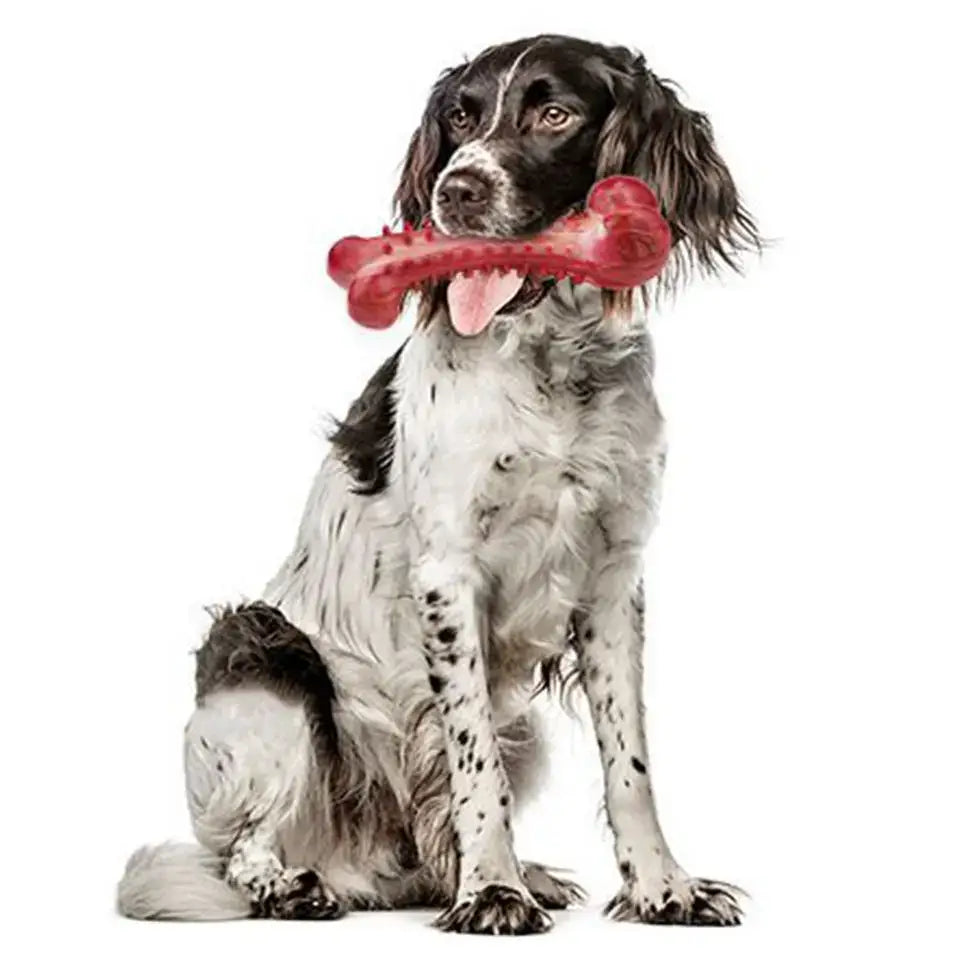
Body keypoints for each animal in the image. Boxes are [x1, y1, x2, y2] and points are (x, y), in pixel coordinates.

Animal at [116, 33, 760, 928]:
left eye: (554, 113)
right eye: (459, 116)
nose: (456, 189)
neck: (551, 366)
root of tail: (358, 862)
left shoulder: (612, 576)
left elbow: (629, 763)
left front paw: (662, 887)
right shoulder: (448, 573)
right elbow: (472, 760)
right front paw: (491, 890)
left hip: (520, 728)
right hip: (264, 651)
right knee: (243, 843)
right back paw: (295, 885)